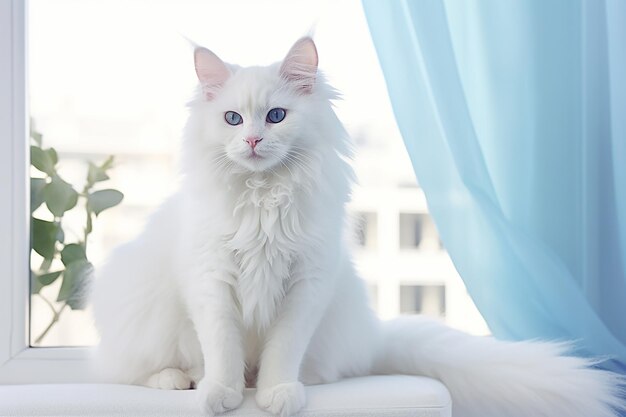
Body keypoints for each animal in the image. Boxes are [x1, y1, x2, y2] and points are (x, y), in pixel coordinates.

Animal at [90, 37, 620, 414]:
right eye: (233, 119)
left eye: (276, 116)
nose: (254, 140)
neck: (264, 199)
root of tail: (375, 336)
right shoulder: (212, 282)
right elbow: (221, 346)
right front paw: (221, 393)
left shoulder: (307, 284)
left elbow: (283, 350)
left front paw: (277, 393)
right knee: (131, 369)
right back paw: (182, 380)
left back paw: (289, 381)